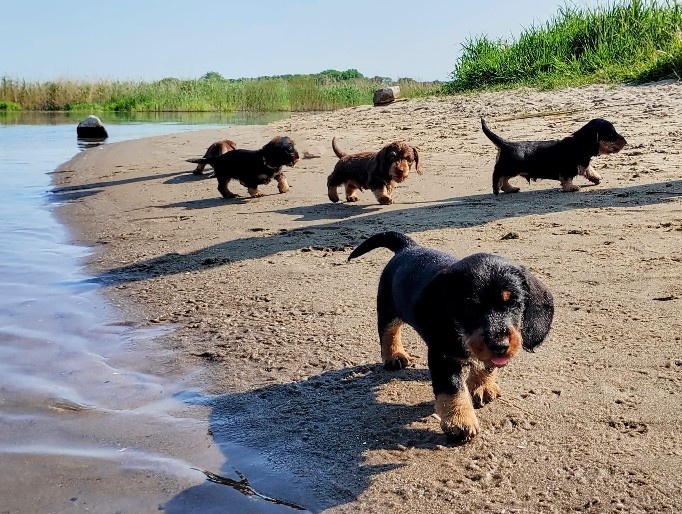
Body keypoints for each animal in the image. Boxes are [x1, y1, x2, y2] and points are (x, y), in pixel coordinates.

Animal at [346, 231, 552, 440]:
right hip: (388, 309)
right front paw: (460, 420)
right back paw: (394, 356)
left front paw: (481, 385)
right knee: (388, 332)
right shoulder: (442, 355)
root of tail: (408, 247)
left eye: (514, 303)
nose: (500, 345)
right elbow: (452, 388)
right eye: (470, 307)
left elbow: (485, 364)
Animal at [480, 117, 624, 195]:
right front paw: (571, 187)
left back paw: (510, 189)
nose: (626, 141)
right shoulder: (567, 168)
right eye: (612, 134)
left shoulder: (582, 163)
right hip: (509, 168)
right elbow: (567, 179)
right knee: (498, 176)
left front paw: (595, 177)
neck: (579, 143)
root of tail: (505, 143)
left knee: (504, 181)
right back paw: (496, 189)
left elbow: (589, 169)